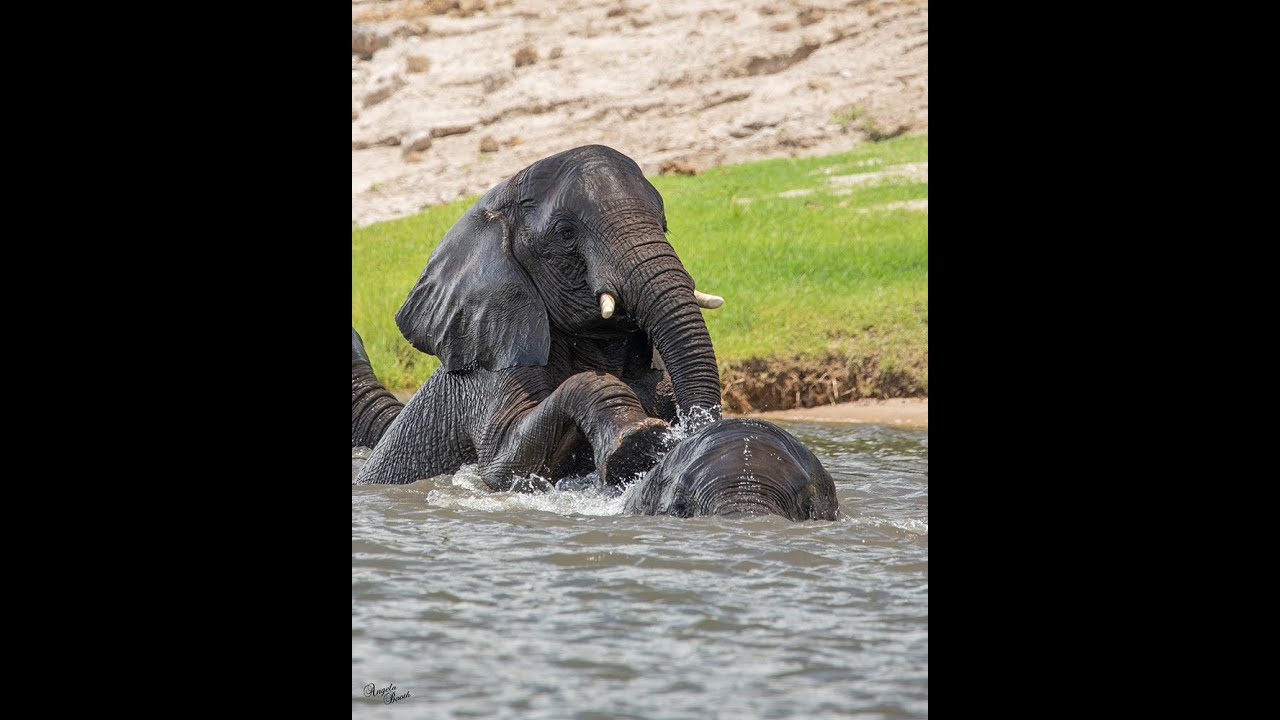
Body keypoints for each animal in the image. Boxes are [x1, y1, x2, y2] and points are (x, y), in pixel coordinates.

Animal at [353, 145, 725, 489]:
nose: (693, 431)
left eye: (664, 224)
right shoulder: (491, 368)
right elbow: (502, 468)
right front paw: (637, 438)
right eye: (565, 234)